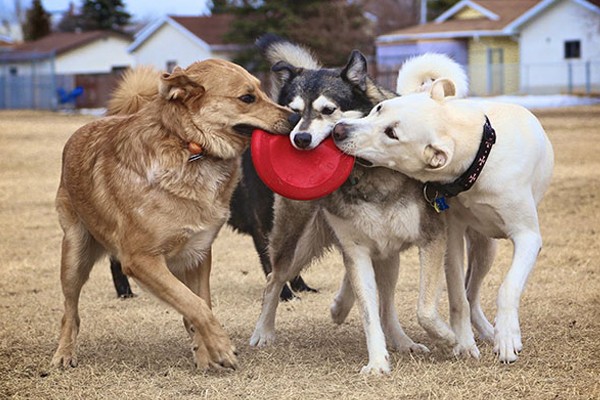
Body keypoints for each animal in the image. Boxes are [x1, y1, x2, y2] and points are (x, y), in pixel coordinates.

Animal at [51, 59, 292, 372]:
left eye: (262, 91)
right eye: (247, 98)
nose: (296, 118)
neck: (189, 145)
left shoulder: (197, 255)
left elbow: (198, 303)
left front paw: (206, 353)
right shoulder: (141, 260)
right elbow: (197, 305)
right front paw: (221, 347)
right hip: (75, 256)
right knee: (70, 311)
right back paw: (64, 353)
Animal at [332, 78, 552, 362]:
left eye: (392, 134)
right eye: (379, 108)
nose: (339, 130)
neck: (480, 156)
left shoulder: (528, 237)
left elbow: (507, 287)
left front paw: (506, 338)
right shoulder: (452, 234)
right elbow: (458, 296)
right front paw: (464, 343)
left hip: (486, 249)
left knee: (474, 291)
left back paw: (490, 332)